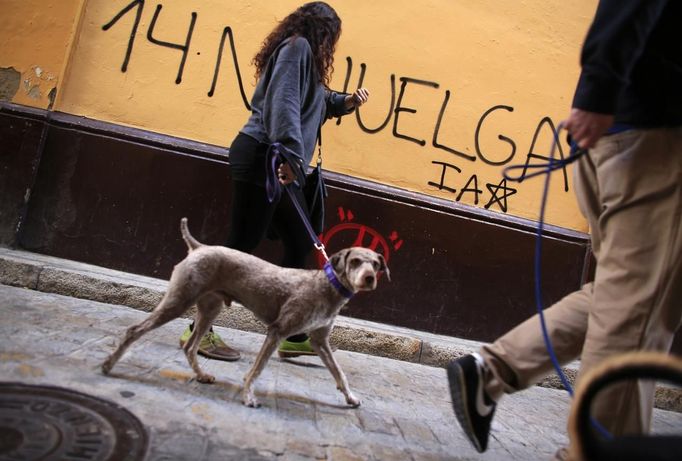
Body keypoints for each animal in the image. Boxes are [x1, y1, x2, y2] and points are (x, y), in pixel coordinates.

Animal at [101, 217, 388, 406]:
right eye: (355, 261)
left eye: (375, 263)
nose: (369, 278)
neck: (327, 286)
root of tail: (199, 247)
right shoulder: (277, 331)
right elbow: (257, 369)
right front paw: (249, 395)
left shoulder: (319, 340)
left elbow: (338, 371)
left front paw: (350, 396)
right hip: (178, 301)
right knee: (135, 330)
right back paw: (109, 365)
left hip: (209, 309)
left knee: (190, 347)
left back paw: (201, 375)